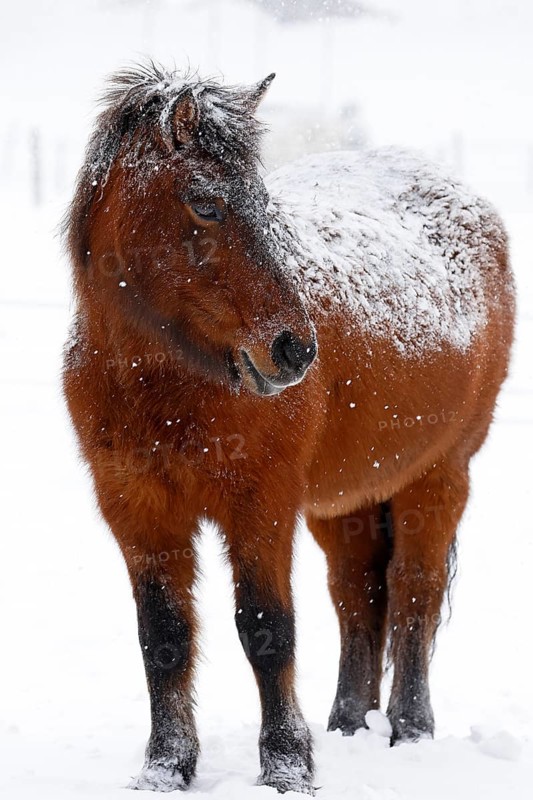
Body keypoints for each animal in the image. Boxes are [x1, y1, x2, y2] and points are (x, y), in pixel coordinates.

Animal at [62, 63, 515, 795]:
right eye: (206, 203)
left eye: (265, 201)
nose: (294, 350)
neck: (166, 388)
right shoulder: (138, 510)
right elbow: (163, 638)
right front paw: (165, 768)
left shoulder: (261, 505)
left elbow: (267, 630)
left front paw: (286, 765)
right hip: (346, 499)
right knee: (357, 593)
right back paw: (348, 724)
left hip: (439, 475)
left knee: (412, 592)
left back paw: (410, 730)